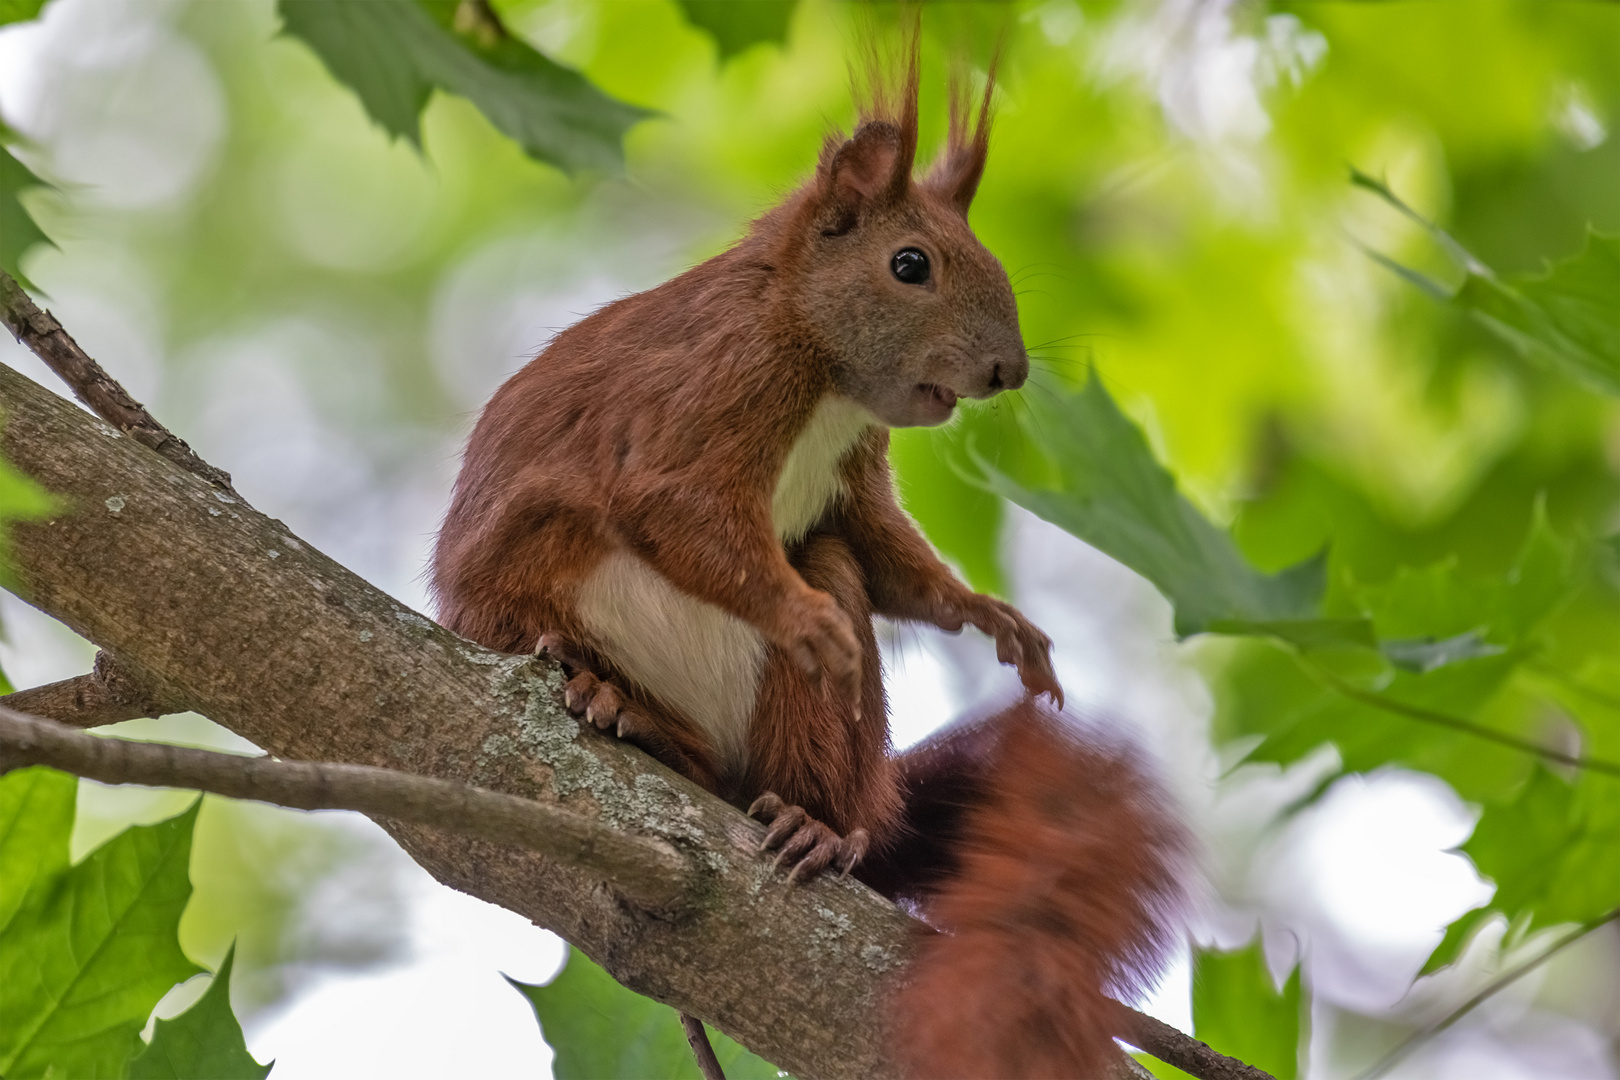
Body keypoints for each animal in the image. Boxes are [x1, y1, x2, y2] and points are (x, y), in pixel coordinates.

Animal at [437, 48, 1185, 1075]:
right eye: (910, 265)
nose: (1010, 372)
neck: (821, 365)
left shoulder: (854, 478)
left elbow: (886, 555)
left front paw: (993, 617)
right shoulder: (711, 387)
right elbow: (678, 507)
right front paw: (805, 621)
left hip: (801, 723)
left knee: (815, 658)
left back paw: (811, 825)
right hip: (533, 579)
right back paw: (609, 697)